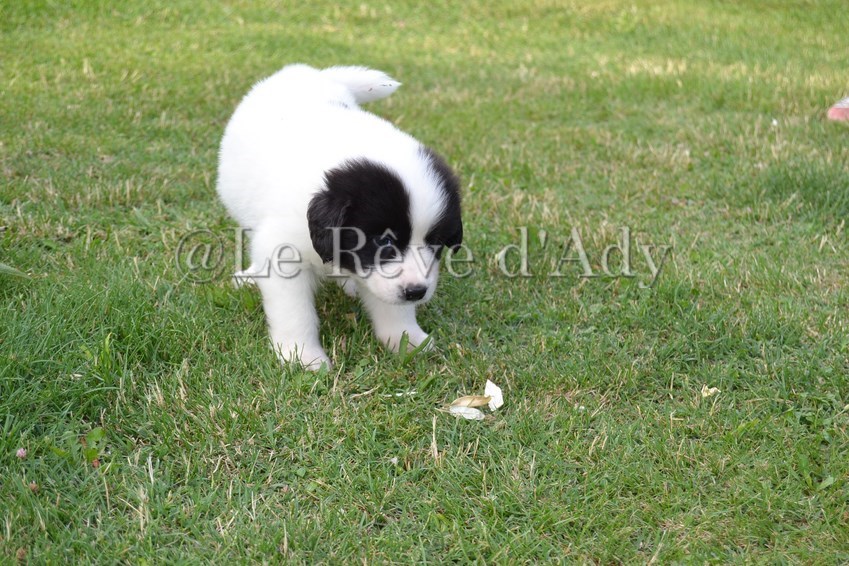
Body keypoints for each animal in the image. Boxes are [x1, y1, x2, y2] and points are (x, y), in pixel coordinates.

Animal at [216, 64, 463, 370]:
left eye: (435, 242)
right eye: (384, 242)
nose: (416, 292)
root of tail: (308, 72)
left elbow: (390, 304)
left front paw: (408, 340)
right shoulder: (283, 250)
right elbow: (295, 311)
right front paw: (302, 356)